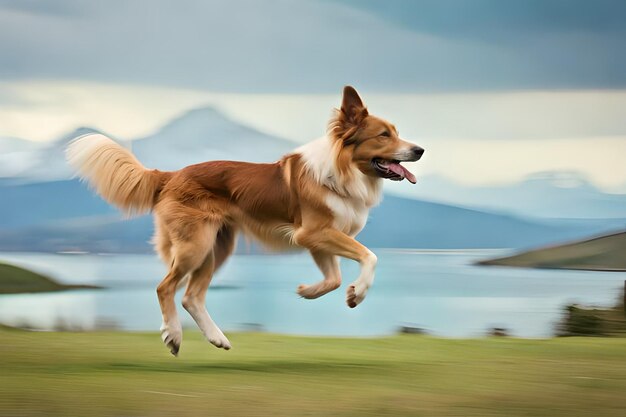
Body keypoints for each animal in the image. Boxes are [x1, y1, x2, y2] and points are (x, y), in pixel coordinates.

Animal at [64, 87, 424, 354]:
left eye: (396, 133)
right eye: (383, 135)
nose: (420, 150)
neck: (344, 170)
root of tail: (171, 175)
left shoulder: (317, 239)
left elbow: (333, 279)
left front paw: (308, 292)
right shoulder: (313, 232)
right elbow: (369, 256)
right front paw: (359, 293)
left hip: (218, 246)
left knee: (191, 296)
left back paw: (216, 337)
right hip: (196, 245)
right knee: (165, 287)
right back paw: (174, 336)